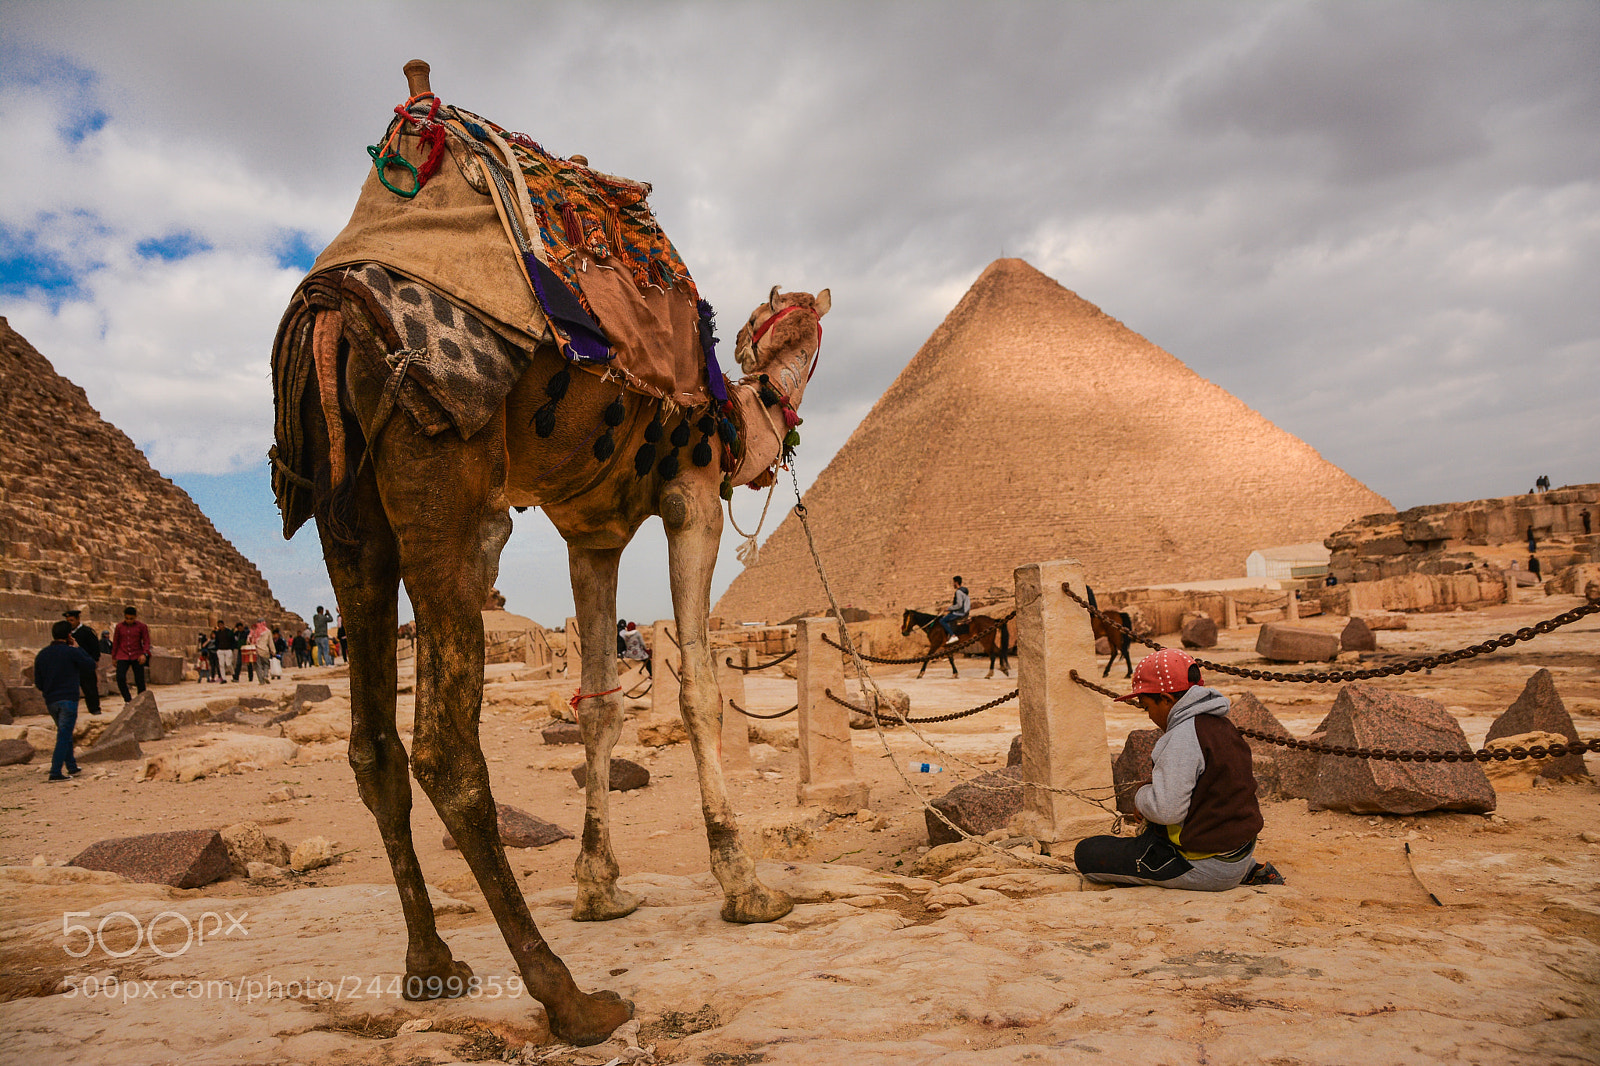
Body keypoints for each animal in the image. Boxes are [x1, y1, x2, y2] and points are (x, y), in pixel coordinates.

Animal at [271, 62, 828, 1047]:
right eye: (801, 324)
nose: (781, 329)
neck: (736, 414)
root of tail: (330, 319)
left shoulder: (590, 532)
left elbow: (601, 702)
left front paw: (601, 888)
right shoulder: (690, 493)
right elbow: (698, 686)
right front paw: (748, 886)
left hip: (348, 517)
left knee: (372, 743)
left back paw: (432, 965)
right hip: (445, 477)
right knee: (446, 747)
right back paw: (569, 997)